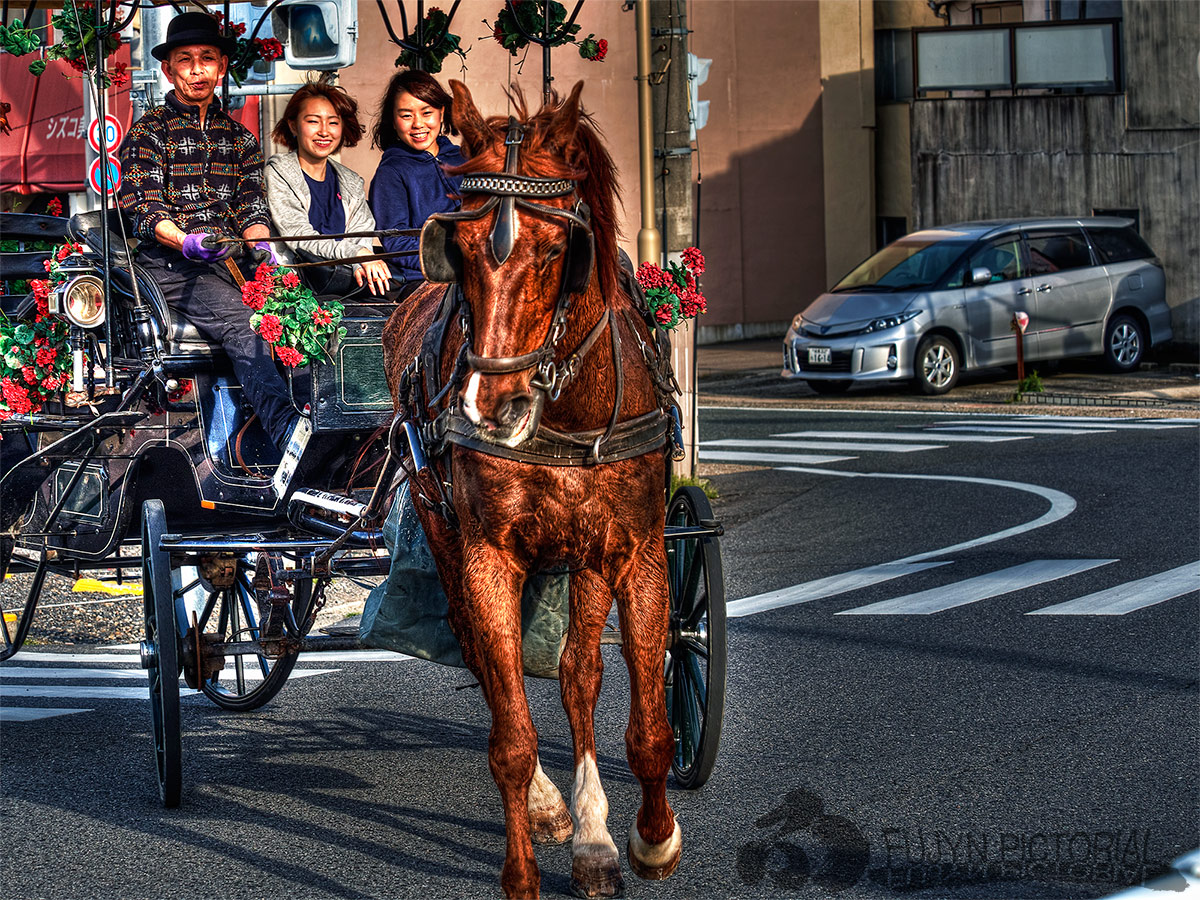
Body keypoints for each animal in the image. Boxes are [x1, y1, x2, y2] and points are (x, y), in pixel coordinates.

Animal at [384, 81, 686, 897]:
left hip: (586, 557)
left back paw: (594, 835)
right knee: (487, 658)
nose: (494, 407)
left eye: (558, 251)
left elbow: (644, 719)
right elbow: (512, 735)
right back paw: (559, 809)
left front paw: (648, 838)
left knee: (580, 674)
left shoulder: (636, 550)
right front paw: (526, 865)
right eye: (457, 250)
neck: (568, 410)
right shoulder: (488, 553)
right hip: (440, 526)